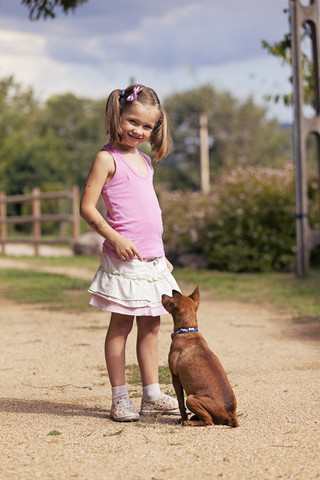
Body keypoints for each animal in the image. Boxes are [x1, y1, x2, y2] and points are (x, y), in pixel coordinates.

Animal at [162, 286, 238, 426]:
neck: (187, 330)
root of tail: (229, 413)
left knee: (209, 421)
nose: (162, 294)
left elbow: (181, 404)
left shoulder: (175, 378)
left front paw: (183, 419)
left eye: (170, 300)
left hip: (191, 399)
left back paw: (190, 422)